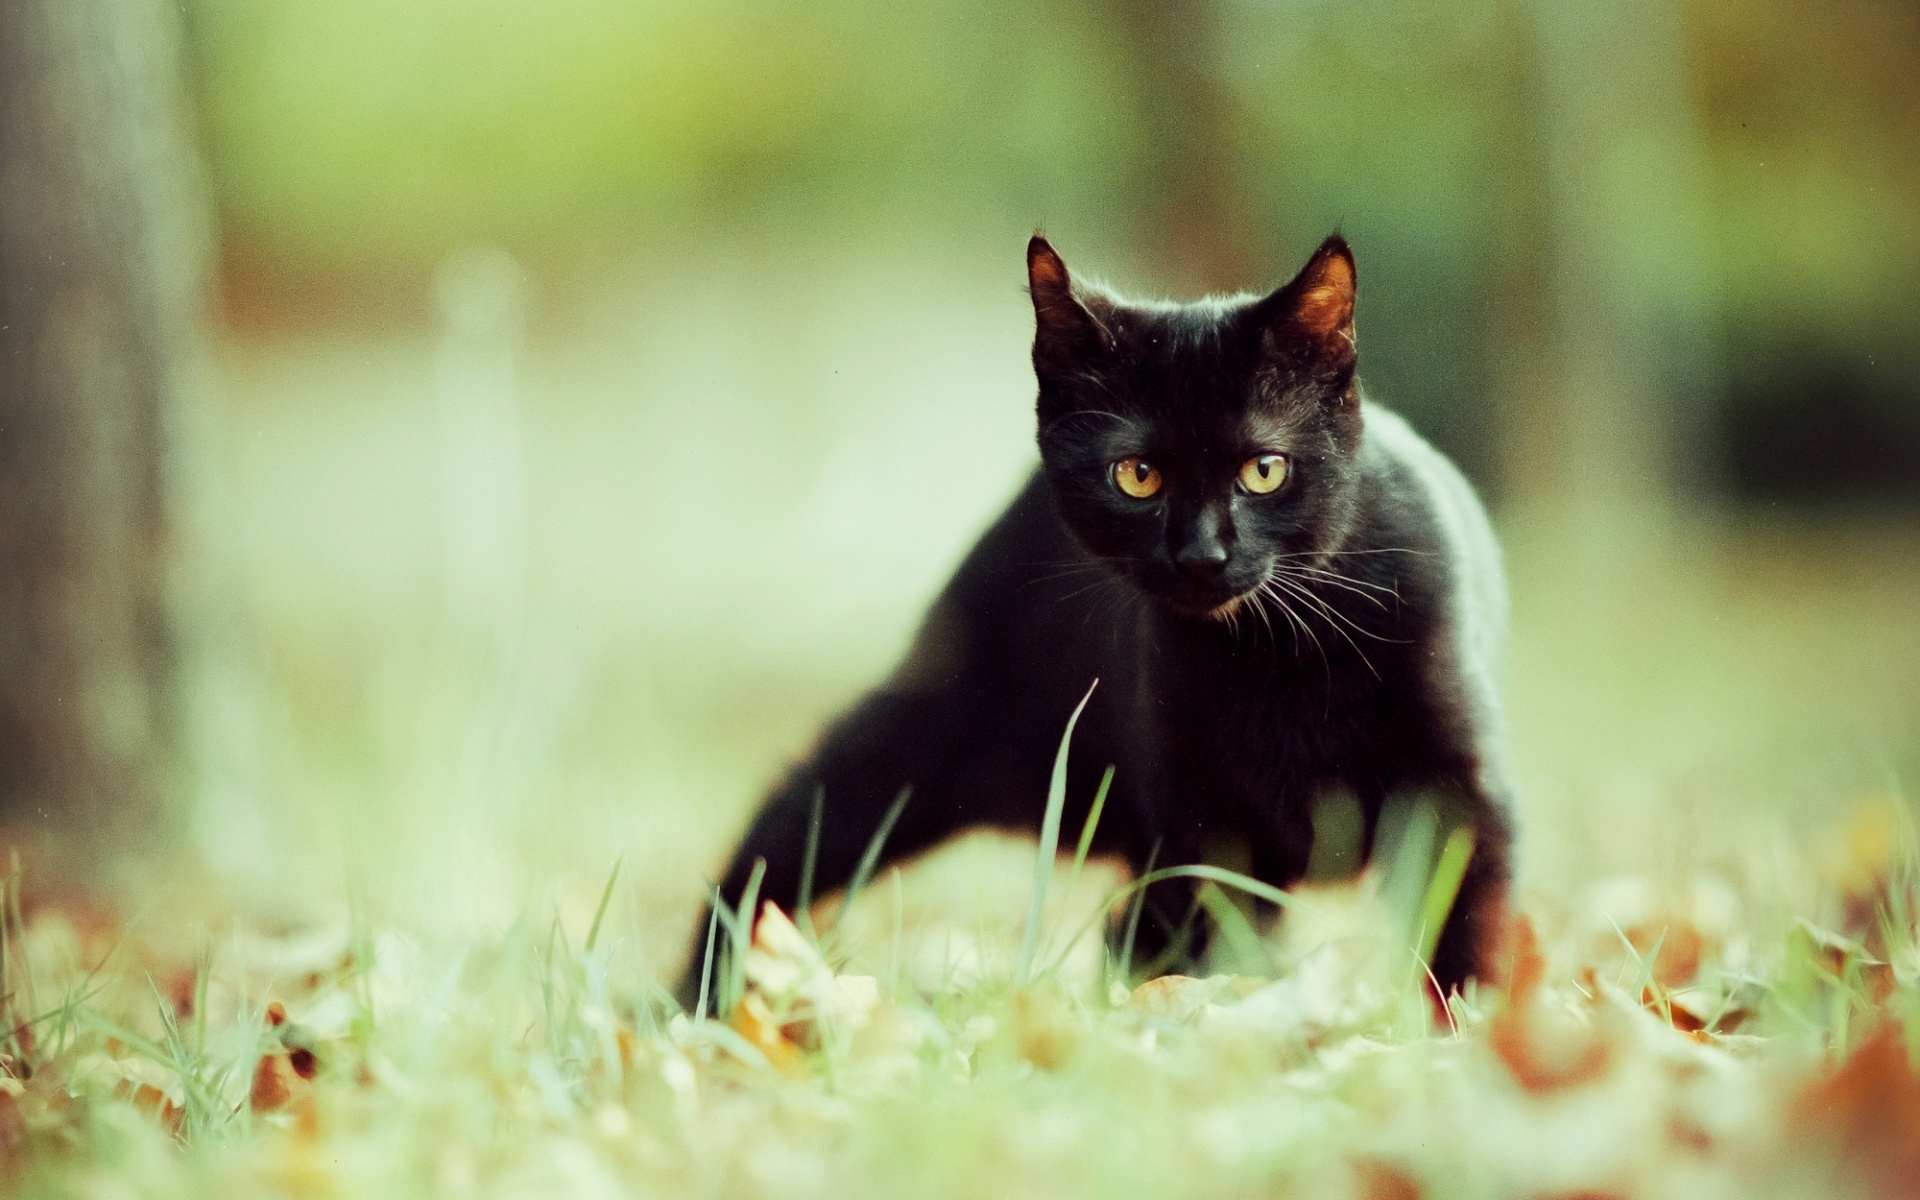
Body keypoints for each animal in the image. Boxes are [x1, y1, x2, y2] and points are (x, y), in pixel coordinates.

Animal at [683, 231, 1505, 998]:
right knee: (790, 826)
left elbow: (1465, 917)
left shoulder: (1456, 791)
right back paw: (706, 993)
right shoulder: (1198, 816)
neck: (1283, 657)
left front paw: (1466, 1025)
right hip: (928, 738)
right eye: (1137, 476)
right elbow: (1212, 942)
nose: (1201, 554)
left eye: (1264, 470)